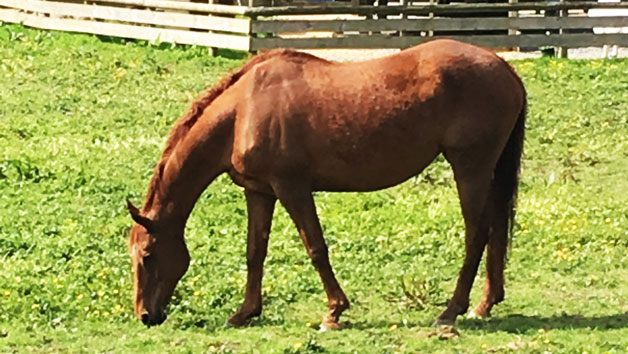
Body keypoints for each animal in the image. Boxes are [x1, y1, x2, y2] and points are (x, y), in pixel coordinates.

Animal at [126, 38, 524, 330]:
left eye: (147, 255)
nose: (145, 316)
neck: (243, 112)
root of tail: (505, 68)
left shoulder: (292, 188)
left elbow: (316, 248)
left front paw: (334, 311)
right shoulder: (259, 192)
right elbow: (255, 252)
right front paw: (245, 312)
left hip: (469, 169)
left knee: (477, 234)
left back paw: (452, 310)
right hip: (486, 171)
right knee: (495, 227)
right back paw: (484, 304)